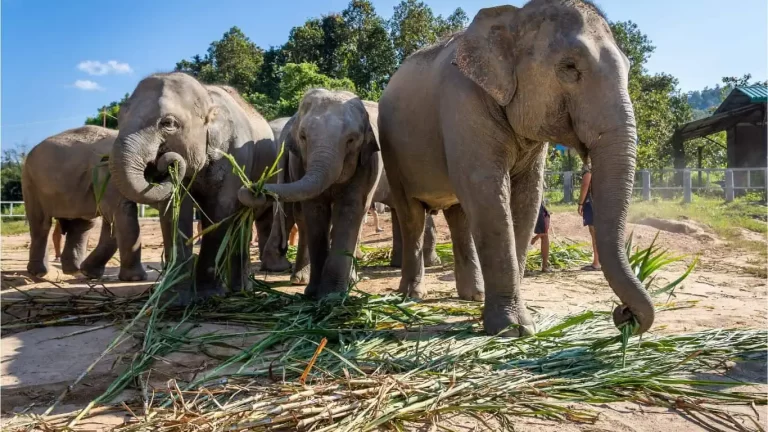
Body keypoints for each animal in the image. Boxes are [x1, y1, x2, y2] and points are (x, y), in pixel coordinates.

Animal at [21, 125, 147, 280]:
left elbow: (112, 220)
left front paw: (90, 273)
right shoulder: (110, 172)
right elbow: (120, 212)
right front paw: (136, 279)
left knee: (82, 225)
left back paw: (74, 270)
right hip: (30, 182)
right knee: (40, 223)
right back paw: (38, 273)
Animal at [108, 71, 284, 304]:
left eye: (168, 123)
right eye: (119, 118)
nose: (164, 162)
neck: (207, 97)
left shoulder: (236, 157)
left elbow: (220, 211)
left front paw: (207, 295)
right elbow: (174, 212)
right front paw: (174, 299)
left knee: (243, 222)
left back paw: (240, 291)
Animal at [240, 89, 380, 298]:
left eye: (351, 140)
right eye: (303, 137)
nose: (254, 189)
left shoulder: (367, 163)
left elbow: (349, 209)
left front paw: (331, 295)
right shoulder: (299, 162)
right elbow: (315, 209)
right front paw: (316, 293)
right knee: (300, 216)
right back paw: (299, 279)